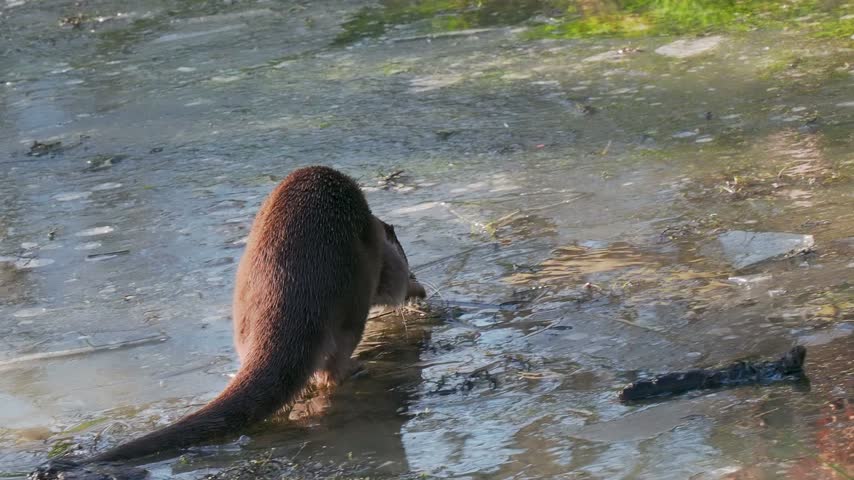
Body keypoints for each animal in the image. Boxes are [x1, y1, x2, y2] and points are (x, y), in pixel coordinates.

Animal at [83, 165, 425, 462]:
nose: (419, 286)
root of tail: (292, 301)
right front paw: (414, 290)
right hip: (348, 299)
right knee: (332, 368)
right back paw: (359, 368)